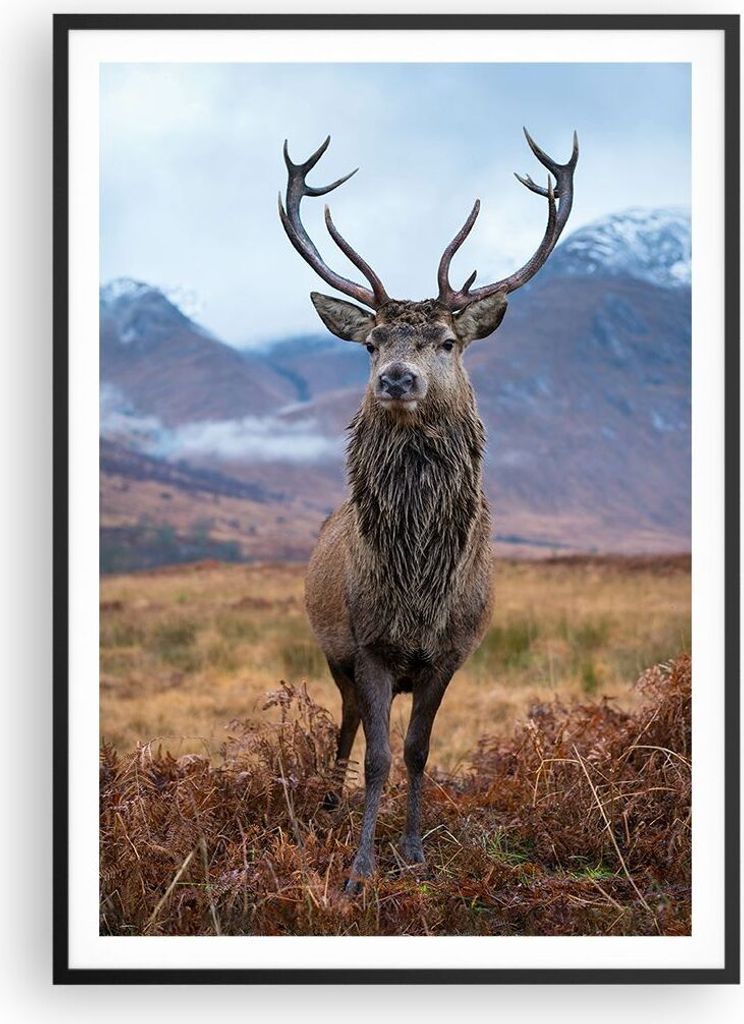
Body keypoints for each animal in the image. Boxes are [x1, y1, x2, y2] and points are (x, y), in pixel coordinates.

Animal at [278, 129, 578, 892]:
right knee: (346, 724)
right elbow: (380, 756)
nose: (396, 378)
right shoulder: (369, 646)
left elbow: (417, 751)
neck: (419, 591)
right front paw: (359, 868)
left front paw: (414, 853)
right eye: (371, 342)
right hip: (333, 649)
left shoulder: (451, 653)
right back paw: (329, 804)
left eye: (447, 341)